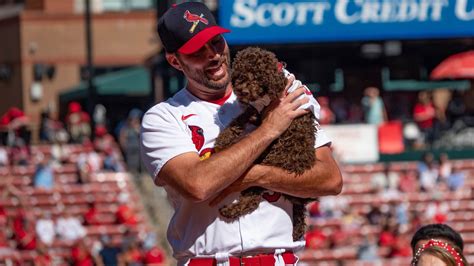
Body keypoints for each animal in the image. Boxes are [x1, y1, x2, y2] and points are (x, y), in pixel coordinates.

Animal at [217, 46, 316, 240]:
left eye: (258, 77)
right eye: (241, 75)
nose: (243, 92)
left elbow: (245, 116)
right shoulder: (257, 109)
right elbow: (243, 117)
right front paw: (225, 137)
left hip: (265, 169)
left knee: (253, 200)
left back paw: (229, 211)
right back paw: (297, 229)